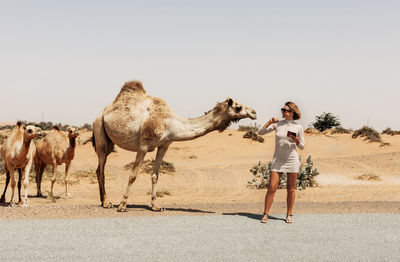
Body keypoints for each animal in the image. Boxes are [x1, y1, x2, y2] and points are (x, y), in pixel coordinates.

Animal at [92, 81, 258, 212]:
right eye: (238, 107)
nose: (254, 112)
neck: (169, 123)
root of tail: (101, 113)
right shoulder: (143, 146)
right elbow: (133, 175)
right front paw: (122, 205)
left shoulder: (164, 146)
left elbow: (155, 175)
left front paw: (156, 206)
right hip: (100, 132)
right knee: (101, 169)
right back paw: (106, 203)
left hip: (109, 142)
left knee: (100, 168)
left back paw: (103, 201)